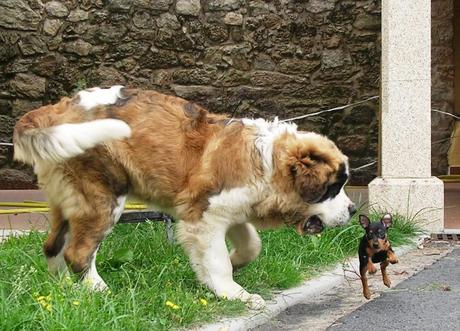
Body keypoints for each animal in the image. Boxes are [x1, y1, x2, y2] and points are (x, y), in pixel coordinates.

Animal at [12, 87, 354, 310]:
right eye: (334, 187)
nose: (352, 210)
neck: (267, 162)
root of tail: (57, 109)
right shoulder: (203, 216)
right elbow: (218, 260)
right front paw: (233, 292)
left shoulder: (230, 212)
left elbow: (251, 245)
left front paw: (230, 267)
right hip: (103, 196)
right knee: (78, 252)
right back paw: (99, 291)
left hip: (68, 198)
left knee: (53, 245)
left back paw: (65, 290)